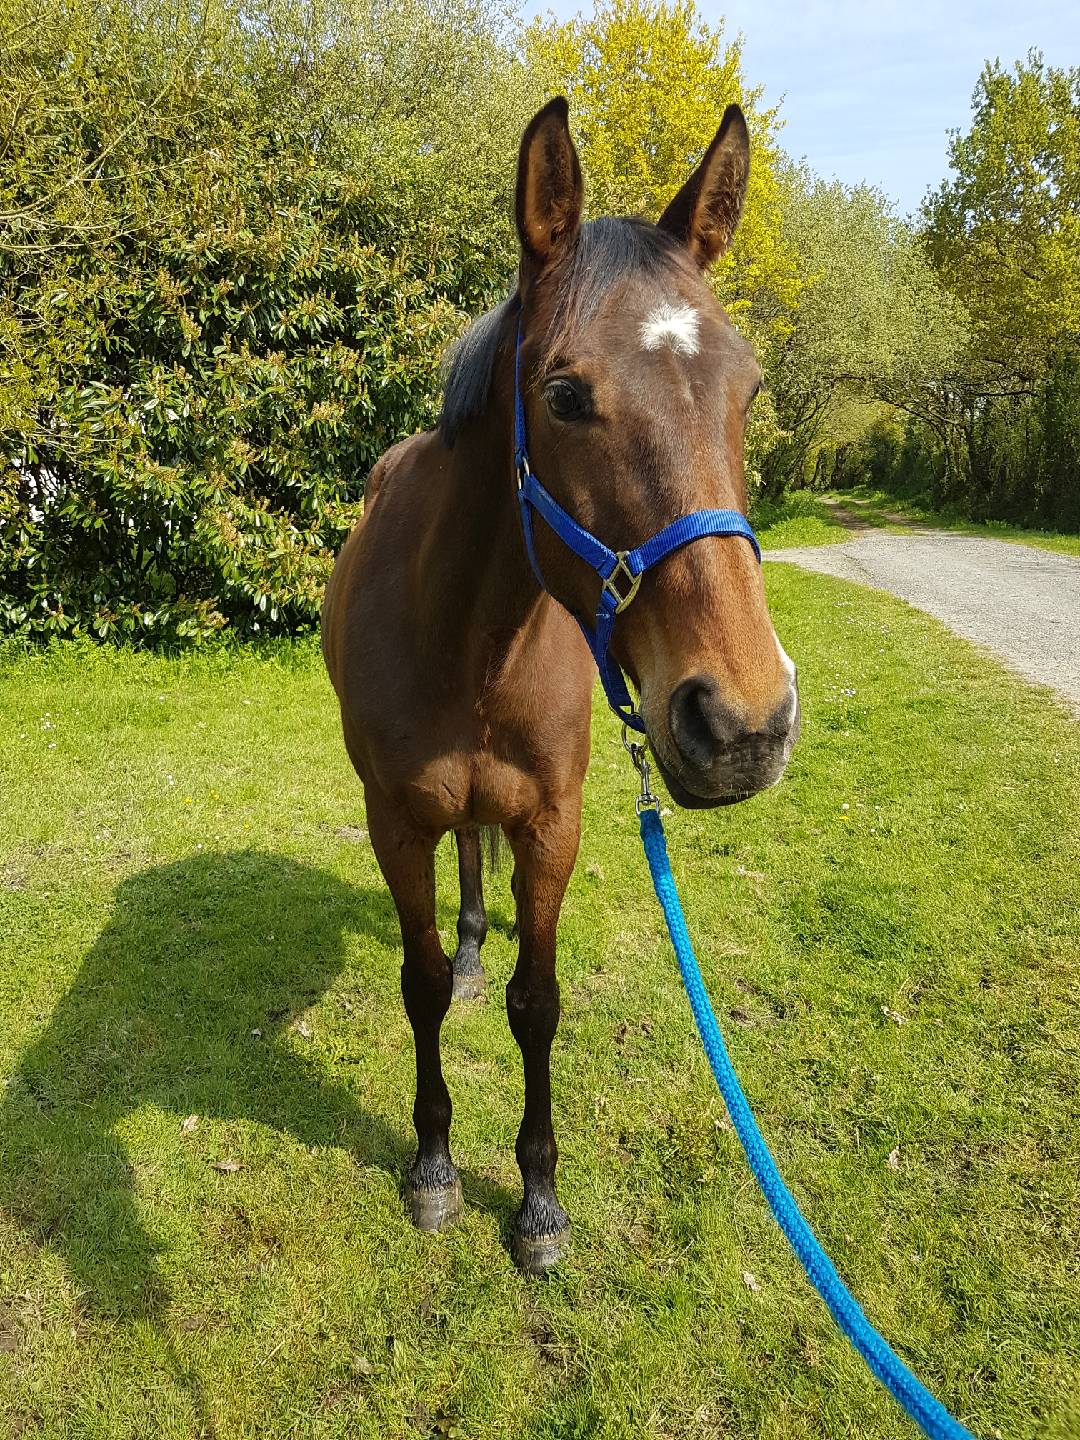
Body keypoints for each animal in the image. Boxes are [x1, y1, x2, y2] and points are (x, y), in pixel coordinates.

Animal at [322, 97, 800, 1275]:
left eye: (749, 389)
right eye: (566, 395)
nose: (744, 722)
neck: (470, 634)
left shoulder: (554, 822)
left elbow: (537, 1004)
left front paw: (538, 1198)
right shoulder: (395, 820)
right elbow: (419, 985)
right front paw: (435, 1167)